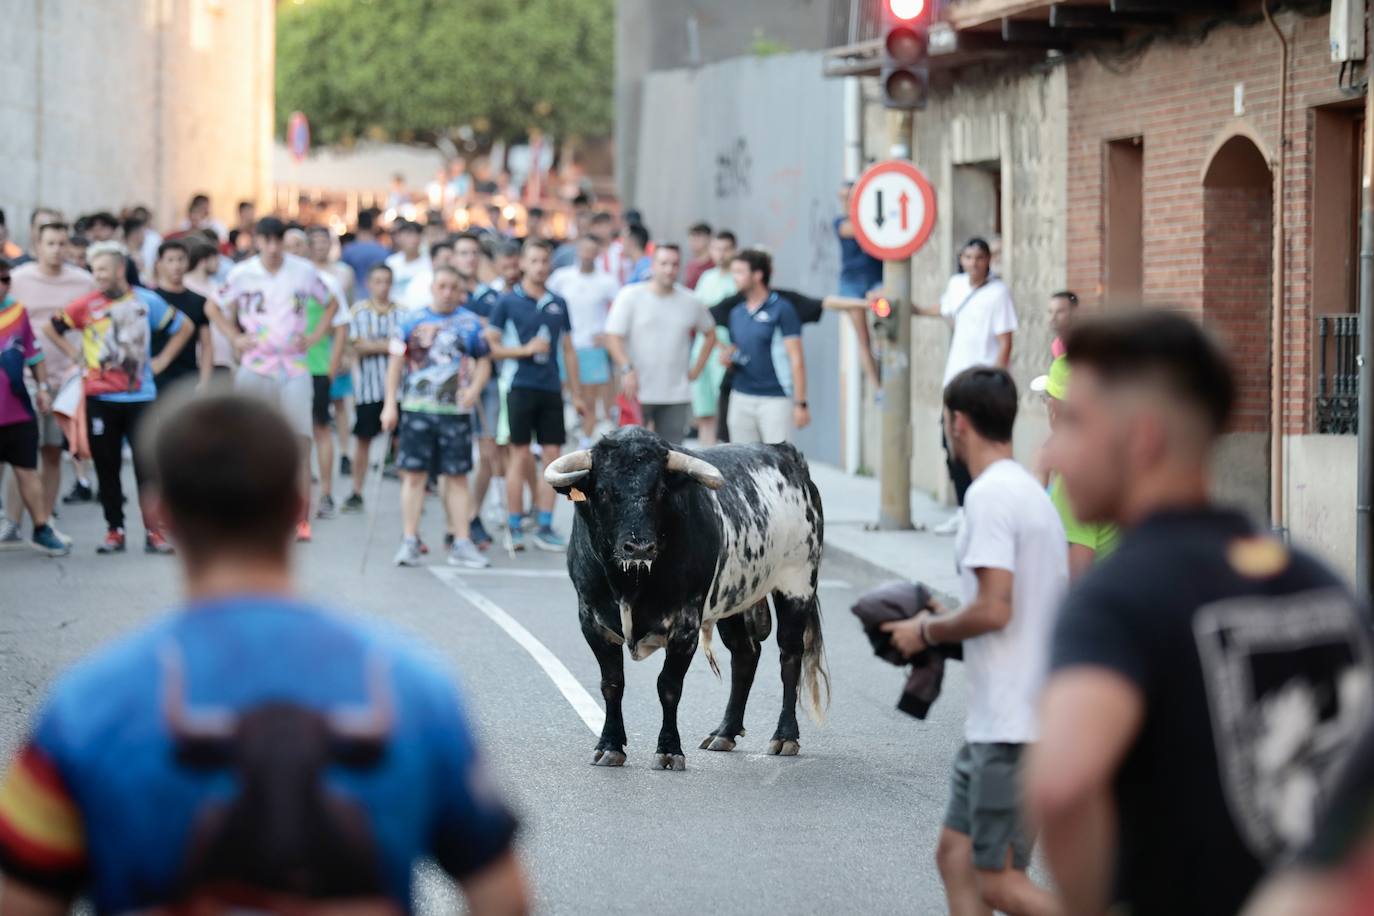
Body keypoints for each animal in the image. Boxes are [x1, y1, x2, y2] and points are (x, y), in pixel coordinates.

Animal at [544, 425, 824, 769]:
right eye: (603, 491)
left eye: (660, 490)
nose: (639, 547)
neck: (629, 584)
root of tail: (787, 454)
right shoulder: (592, 621)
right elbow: (612, 684)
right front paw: (610, 745)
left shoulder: (685, 624)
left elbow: (669, 686)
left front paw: (669, 749)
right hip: (733, 600)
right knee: (745, 653)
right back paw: (725, 732)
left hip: (797, 583)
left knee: (789, 655)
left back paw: (785, 736)